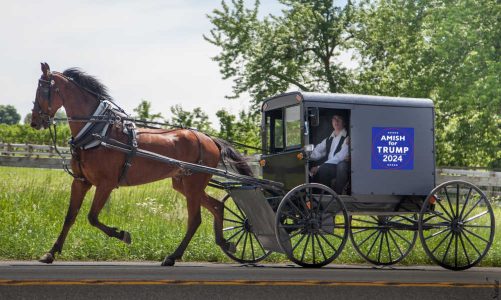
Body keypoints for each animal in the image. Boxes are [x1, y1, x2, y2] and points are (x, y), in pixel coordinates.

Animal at [30, 62, 250, 266]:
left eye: (43, 89)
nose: (34, 122)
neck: (98, 131)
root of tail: (209, 139)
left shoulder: (106, 184)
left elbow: (92, 217)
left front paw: (123, 234)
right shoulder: (81, 181)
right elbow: (70, 216)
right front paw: (50, 253)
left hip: (193, 185)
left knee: (195, 220)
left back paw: (173, 256)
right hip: (183, 184)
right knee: (217, 207)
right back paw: (225, 242)